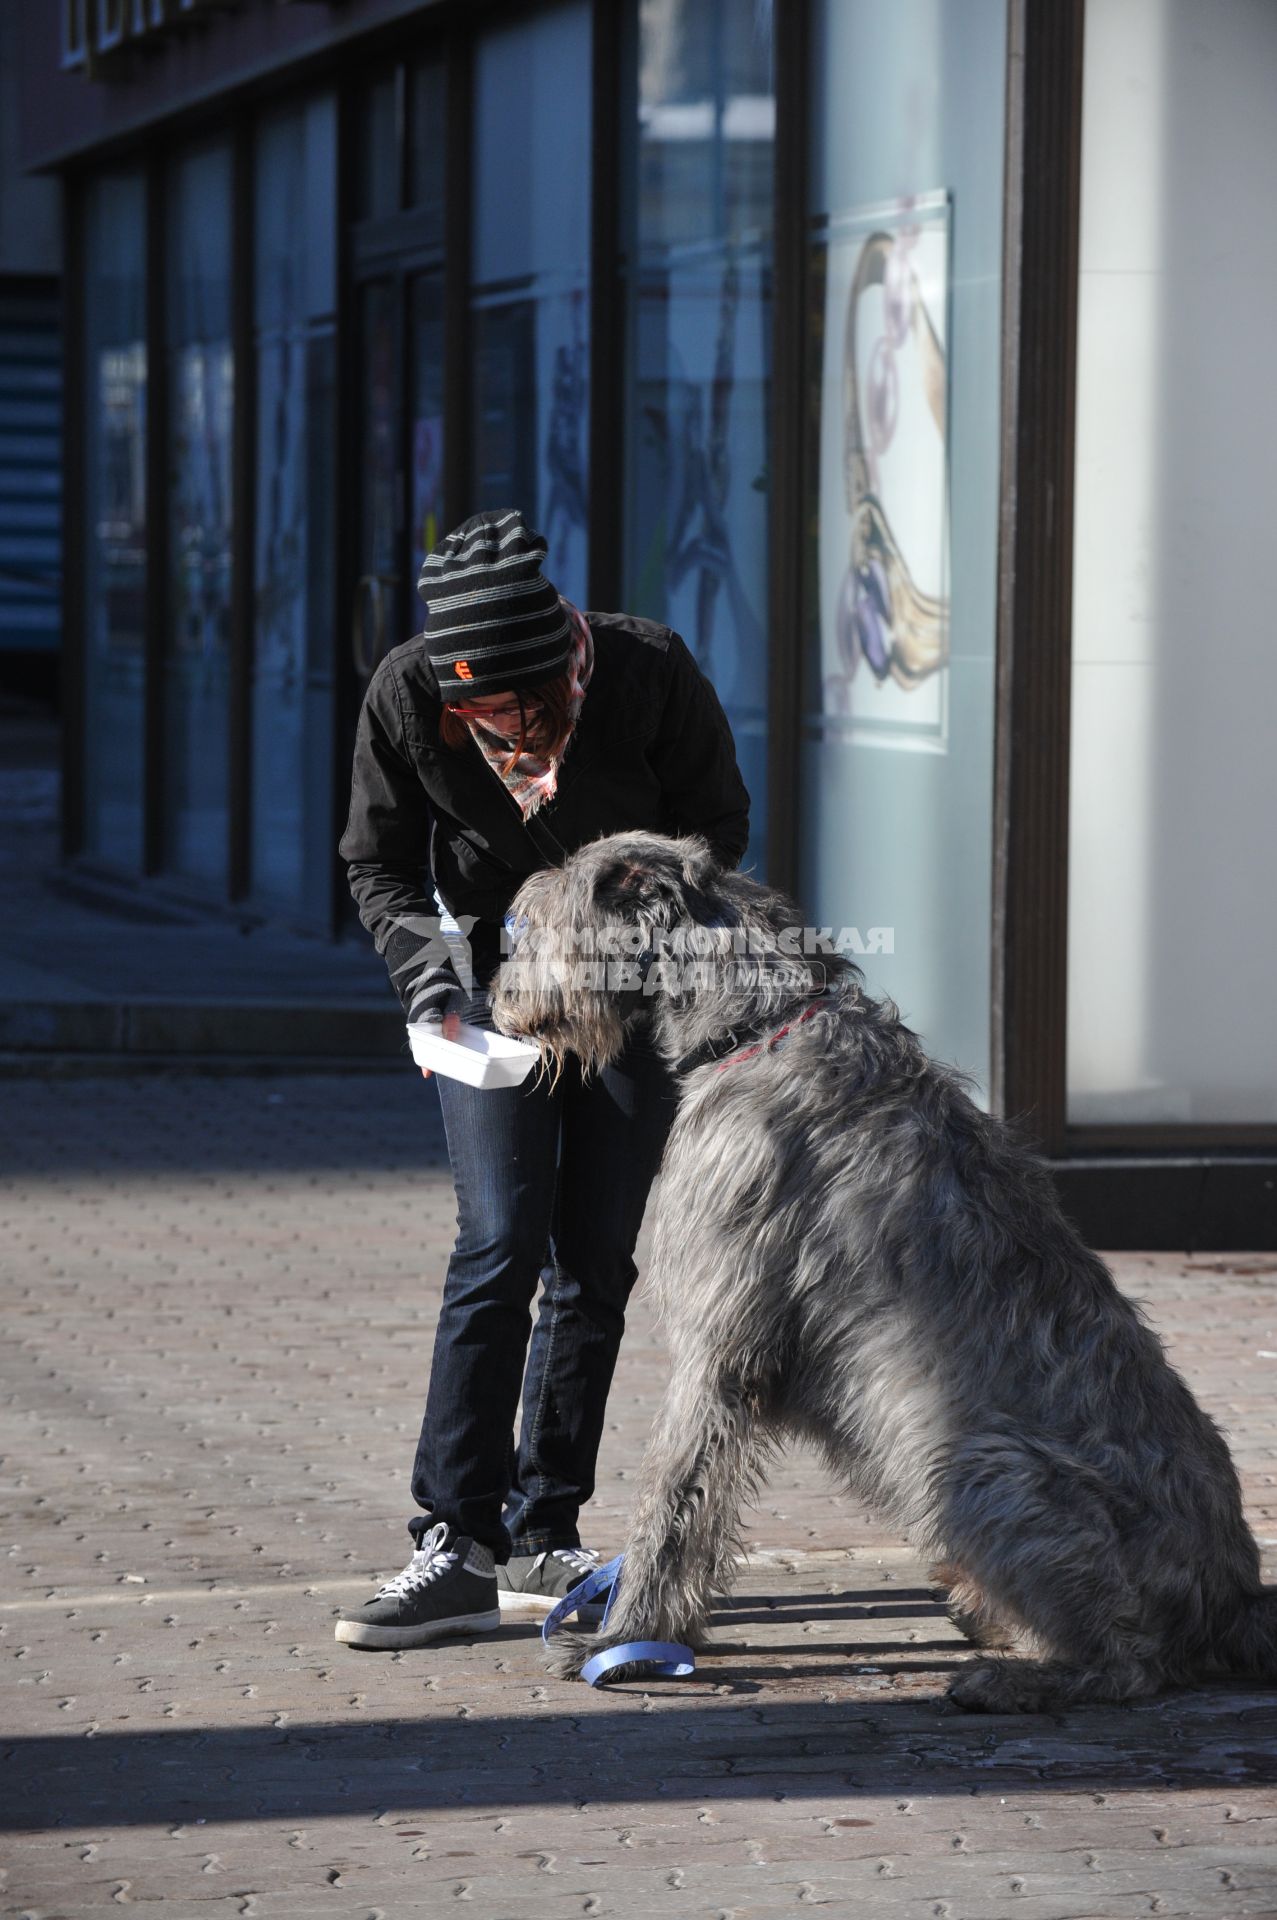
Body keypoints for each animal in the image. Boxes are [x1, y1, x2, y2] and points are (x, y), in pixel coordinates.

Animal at [487, 829, 1275, 1712]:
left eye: (535, 918)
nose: (495, 1000)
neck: (759, 1023)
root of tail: (1235, 1598)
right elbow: (698, 1498)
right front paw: (663, 1637)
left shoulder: (719, 1343)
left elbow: (675, 1496)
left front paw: (624, 1642)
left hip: (975, 1465)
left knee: (1131, 1665)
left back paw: (1010, 1677)